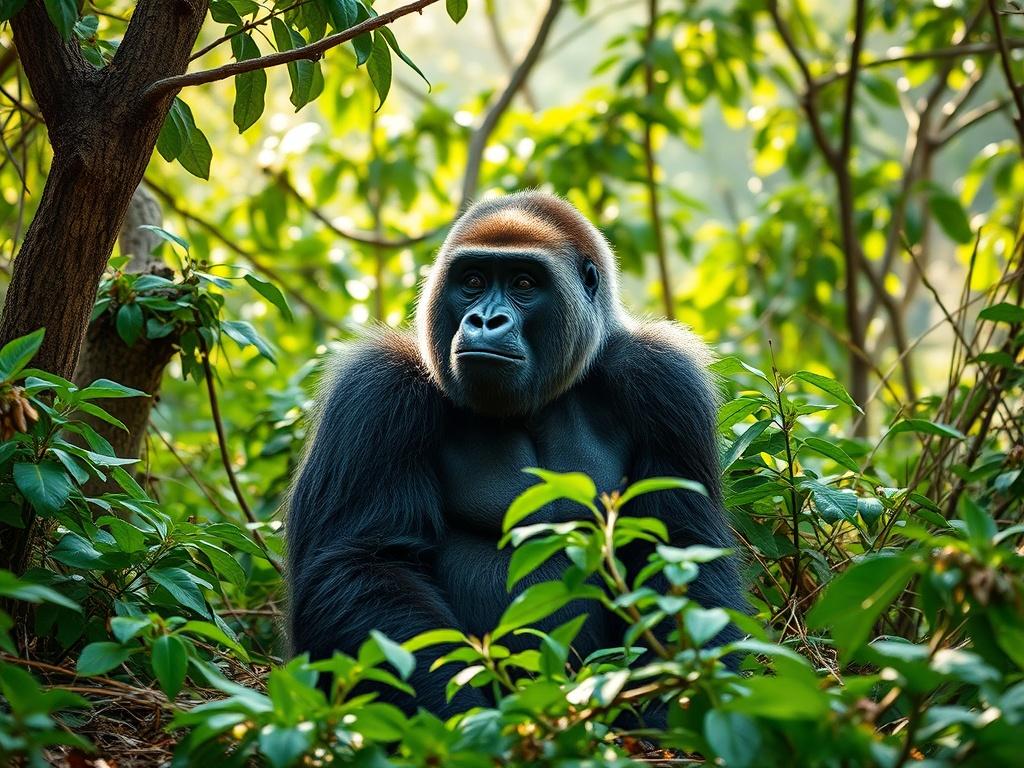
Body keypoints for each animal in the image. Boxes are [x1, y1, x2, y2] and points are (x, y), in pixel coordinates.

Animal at [286, 191, 745, 718]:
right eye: (472, 281)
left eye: (524, 284)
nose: (486, 320)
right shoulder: (376, 389)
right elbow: (363, 564)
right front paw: (464, 721)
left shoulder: (665, 382)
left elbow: (681, 552)